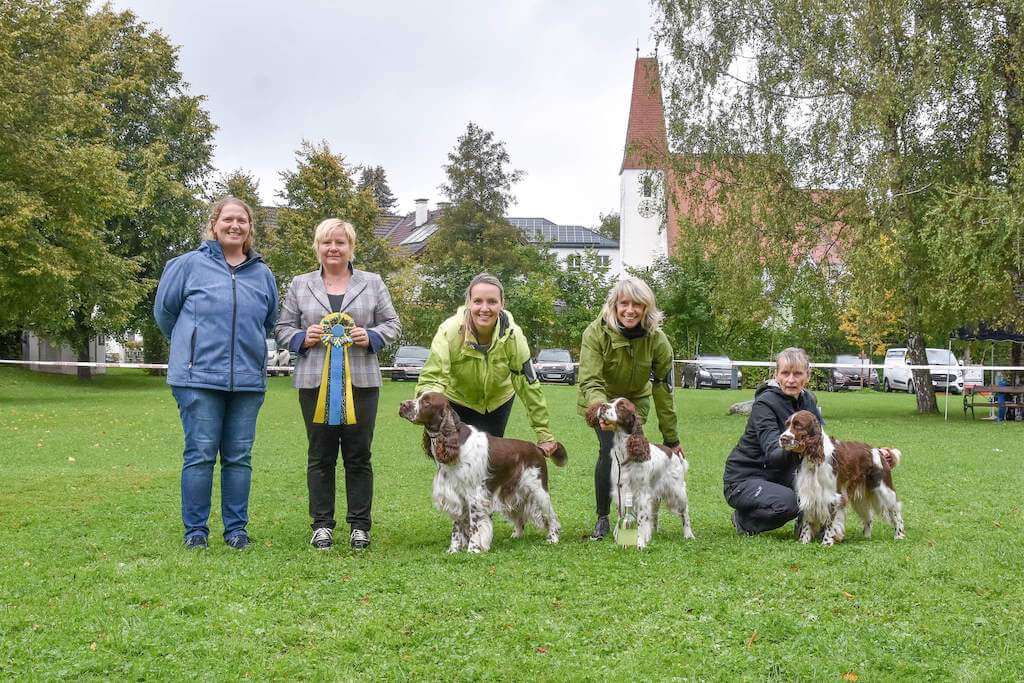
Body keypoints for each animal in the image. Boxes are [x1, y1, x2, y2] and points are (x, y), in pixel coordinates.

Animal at [397, 393, 569, 552]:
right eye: (418, 396)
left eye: (427, 402)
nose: (402, 404)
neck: (456, 444)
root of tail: (537, 448)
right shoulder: (456, 495)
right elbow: (456, 527)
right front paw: (453, 550)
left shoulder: (475, 495)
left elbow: (475, 525)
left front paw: (473, 549)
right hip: (513, 491)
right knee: (519, 515)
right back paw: (516, 536)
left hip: (538, 490)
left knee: (552, 517)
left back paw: (553, 538)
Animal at [589, 397, 692, 548]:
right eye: (611, 401)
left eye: (622, 406)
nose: (602, 406)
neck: (625, 451)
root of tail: (673, 452)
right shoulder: (621, 490)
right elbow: (622, 515)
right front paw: (620, 538)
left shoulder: (641, 493)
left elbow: (641, 519)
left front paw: (640, 542)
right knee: (654, 515)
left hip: (677, 491)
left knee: (685, 513)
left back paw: (688, 535)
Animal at [782, 409, 905, 548]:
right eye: (787, 424)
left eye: (798, 425)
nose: (782, 439)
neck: (814, 457)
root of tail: (878, 451)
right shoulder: (808, 494)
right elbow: (807, 522)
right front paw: (804, 541)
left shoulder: (833, 497)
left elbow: (830, 523)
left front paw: (826, 543)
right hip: (860, 499)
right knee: (868, 517)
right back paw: (866, 537)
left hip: (883, 490)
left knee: (896, 511)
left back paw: (899, 535)